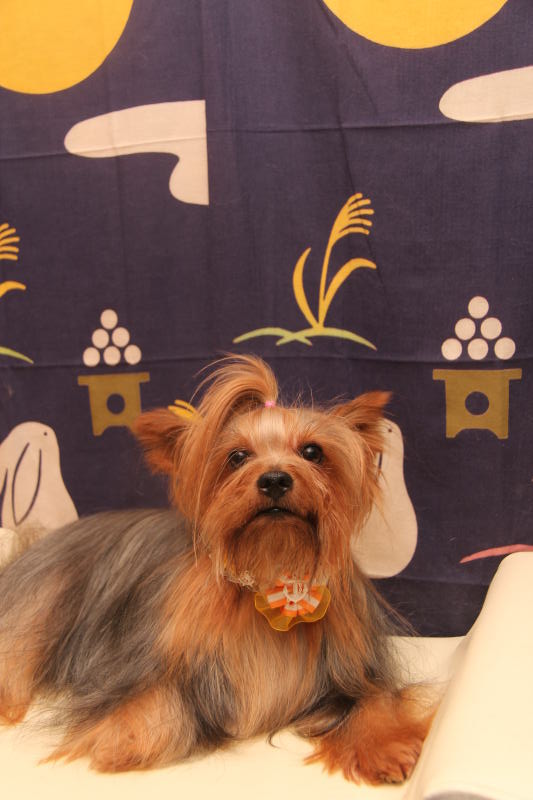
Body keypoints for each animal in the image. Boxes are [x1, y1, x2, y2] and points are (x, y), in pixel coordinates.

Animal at [0, 355, 432, 783]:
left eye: (313, 452)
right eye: (237, 457)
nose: (275, 479)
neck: (270, 566)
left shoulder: (355, 666)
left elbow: (376, 698)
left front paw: (385, 746)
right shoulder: (150, 662)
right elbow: (154, 695)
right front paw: (128, 736)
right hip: (39, 604)